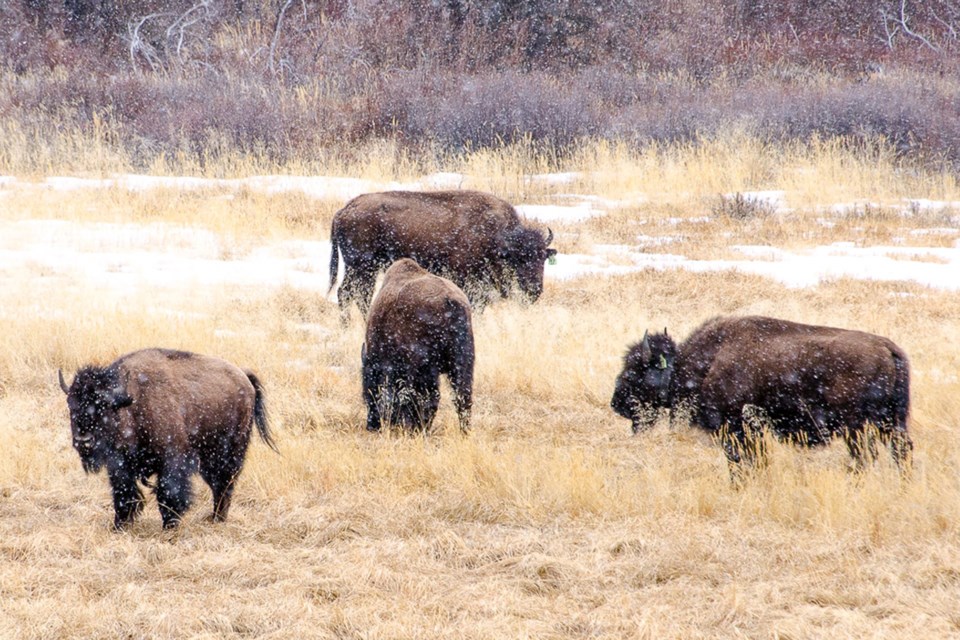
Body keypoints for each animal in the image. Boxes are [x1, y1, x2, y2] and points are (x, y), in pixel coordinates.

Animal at [59, 348, 278, 528]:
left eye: (103, 407)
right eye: (71, 405)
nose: (83, 441)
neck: (132, 403)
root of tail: (245, 379)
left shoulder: (172, 460)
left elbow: (169, 494)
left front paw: (170, 525)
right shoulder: (119, 466)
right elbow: (123, 493)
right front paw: (119, 525)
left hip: (229, 452)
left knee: (225, 484)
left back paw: (218, 518)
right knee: (219, 484)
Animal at [328, 190, 556, 320]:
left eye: (543, 258)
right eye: (518, 259)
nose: (535, 290)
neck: (494, 237)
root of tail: (344, 210)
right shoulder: (467, 278)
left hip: (366, 268)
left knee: (356, 293)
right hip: (361, 266)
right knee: (349, 293)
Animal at [362, 258, 474, 432]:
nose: (371, 425)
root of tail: (451, 301)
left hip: (426, 368)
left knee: (429, 398)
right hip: (462, 363)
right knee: (462, 397)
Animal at [612, 316, 912, 470]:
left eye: (633, 371)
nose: (617, 403)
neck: (707, 361)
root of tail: (887, 348)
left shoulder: (737, 428)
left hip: (857, 426)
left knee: (865, 456)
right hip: (893, 421)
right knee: (901, 451)